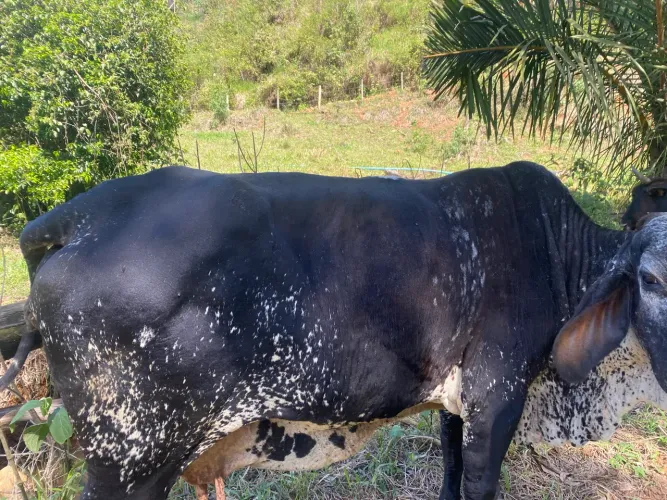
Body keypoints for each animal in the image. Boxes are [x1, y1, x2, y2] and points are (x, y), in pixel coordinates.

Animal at [2, 162, 667, 500]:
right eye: (653, 280)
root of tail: (77, 217)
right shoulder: (498, 397)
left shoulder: (457, 403)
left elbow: (451, 475)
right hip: (131, 457)